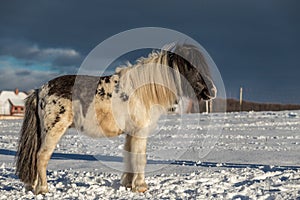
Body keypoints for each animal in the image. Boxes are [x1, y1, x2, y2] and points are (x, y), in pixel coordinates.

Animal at [15, 43, 217, 194]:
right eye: (190, 66)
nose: (211, 91)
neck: (144, 91)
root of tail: (40, 90)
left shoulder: (131, 133)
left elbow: (129, 157)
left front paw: (128, 184)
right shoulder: (140, 132)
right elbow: (140, 158)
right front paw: (141, 187)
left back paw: (32, 186)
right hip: (53, 131)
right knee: (41, 157)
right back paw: (43, 189)